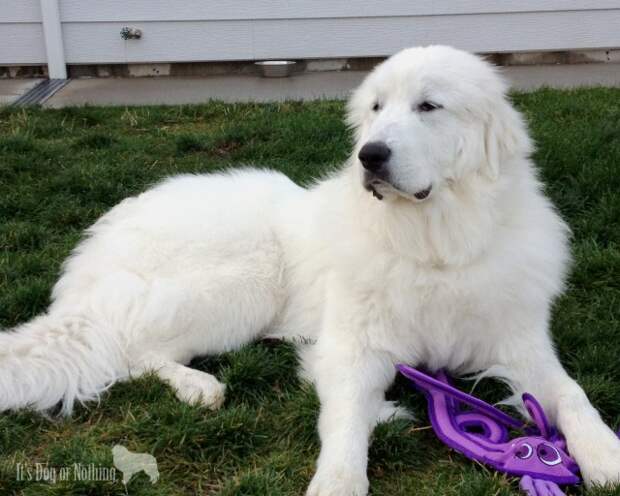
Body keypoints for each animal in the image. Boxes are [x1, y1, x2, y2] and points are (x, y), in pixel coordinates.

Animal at [1, 45, 620, 492]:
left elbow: (572, 395)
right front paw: (340, 479)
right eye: (376, 109)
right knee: (132, 352)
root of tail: (94, 249)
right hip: (243, 286)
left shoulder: (521, 345)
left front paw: (604, 454)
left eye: (429, 106)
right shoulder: (353, 348)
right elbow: (344, 420)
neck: (431, 244)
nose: (370, 155)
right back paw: (198, 386)